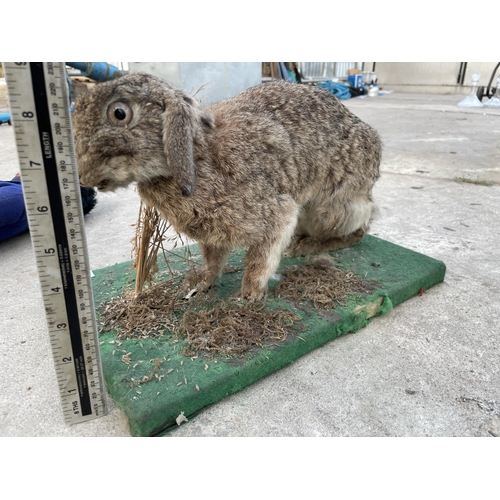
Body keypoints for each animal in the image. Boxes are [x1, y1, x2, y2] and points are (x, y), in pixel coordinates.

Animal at [72, 73, 380, 298]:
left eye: (119, 113)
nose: (82, 177)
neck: (196, 155)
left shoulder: (277, 214)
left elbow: (261, 259)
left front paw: (249, 294)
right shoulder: (212, 235)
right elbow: (213, 260)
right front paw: (201, 283)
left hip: (331, 210)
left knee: (361, 227)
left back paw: (307, 246)